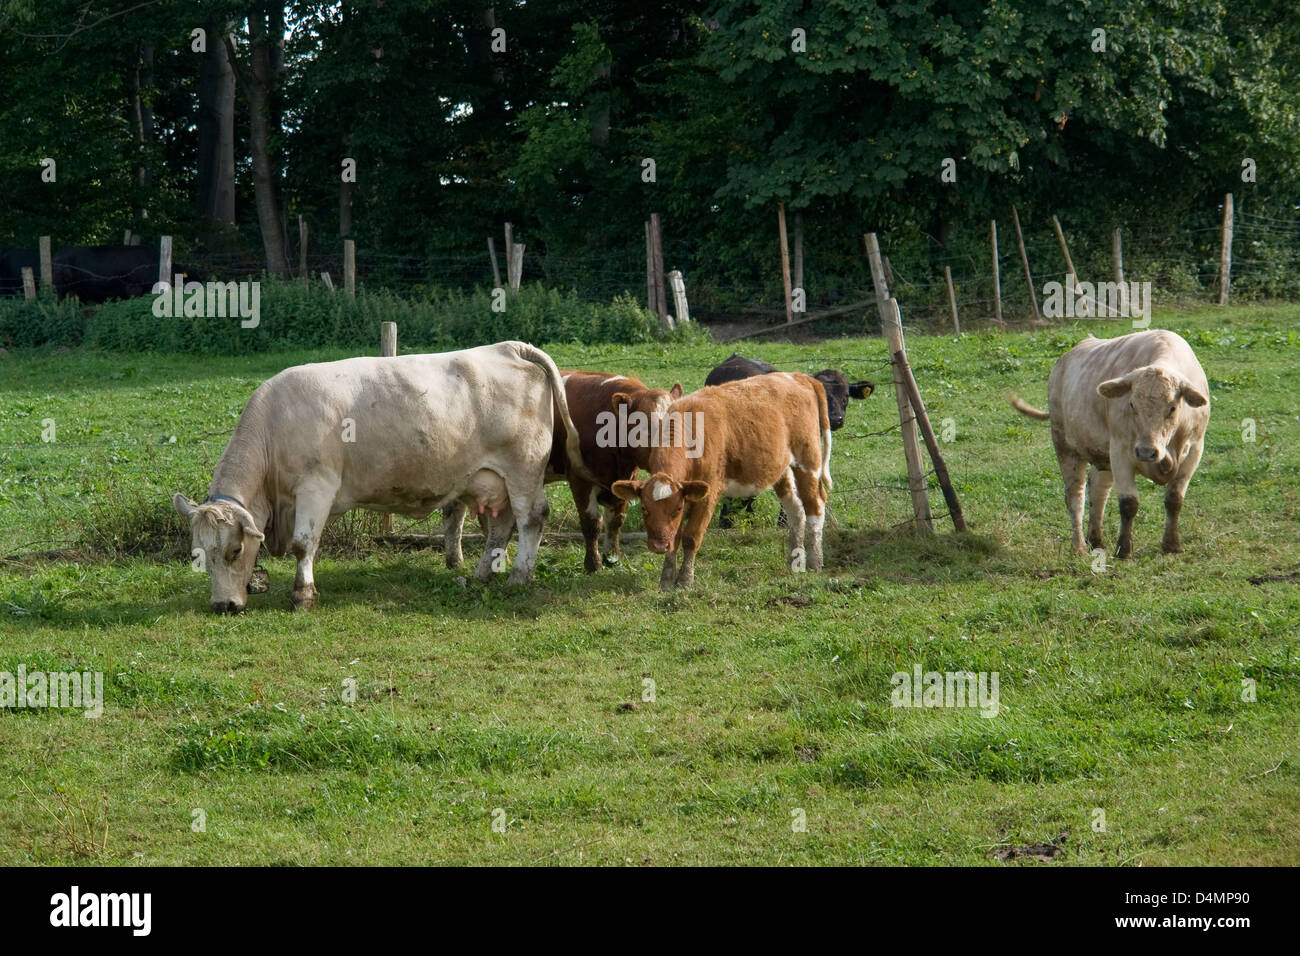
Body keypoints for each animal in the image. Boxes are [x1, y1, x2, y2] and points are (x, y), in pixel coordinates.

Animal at [170, 340, 587, 616]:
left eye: (234, 551)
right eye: (197, 554)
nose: (223, 605)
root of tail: (510, 347)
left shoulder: (317, 486)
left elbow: (304, 545)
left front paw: (302, 595)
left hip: (523, 469)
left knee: (531, 518)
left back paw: (519, 577)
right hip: (490, 479)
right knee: (501, 527)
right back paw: (483, 575)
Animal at [611, 374, 832, 590]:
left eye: (676, 509)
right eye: (644, 509)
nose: (658, 546)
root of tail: (798, 376)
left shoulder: (708, 495)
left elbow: (691, 537)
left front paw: (685, 580)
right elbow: (675, 537)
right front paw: (666, 579)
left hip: (808, 461)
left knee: (815, 506)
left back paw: (815, 560)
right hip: (781, 470)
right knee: (796, 511)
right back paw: (795, 559)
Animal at [1003, 330, 1206, 561]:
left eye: (1172, 408)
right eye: (1132, 404)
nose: (1146, 452)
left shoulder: (1195, 451)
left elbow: (1174, 499)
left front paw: (1172, 545)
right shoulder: (1121, 451)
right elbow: (1129, 503)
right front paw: (1124, 549)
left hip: (1104, 457)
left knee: (1098, 491)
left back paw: (1096, 540)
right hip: (1066, 447)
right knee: (1076, 497)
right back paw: (1079, 546)